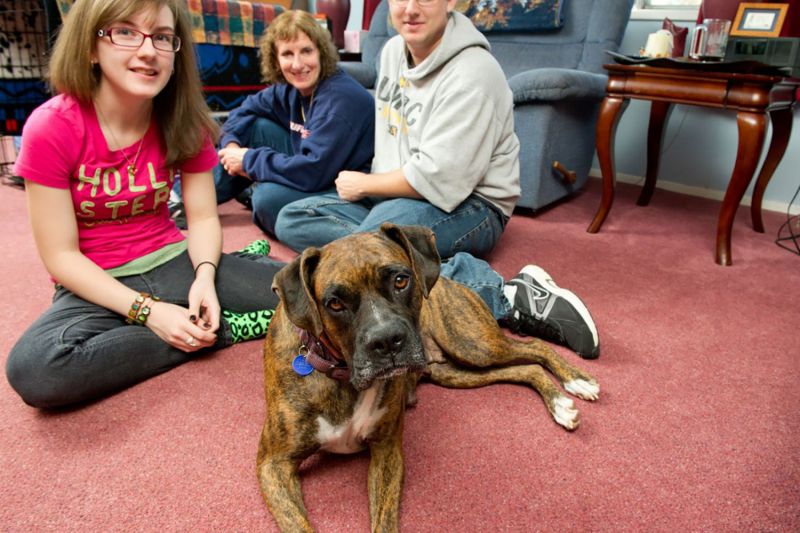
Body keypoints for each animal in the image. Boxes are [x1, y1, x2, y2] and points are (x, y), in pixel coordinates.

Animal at [256, 222, 600, 528]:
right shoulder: (273, 465)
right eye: (335, 303)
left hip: (474, 344)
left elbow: (384, 519)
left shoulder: (387, 452)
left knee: (536, 347)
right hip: (458, 372)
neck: (340, 373)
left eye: (400, 280)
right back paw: (561, 403)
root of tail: (448, 280)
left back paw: (575, 383)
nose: (386, 340)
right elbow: (298, 524)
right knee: (525, 368)